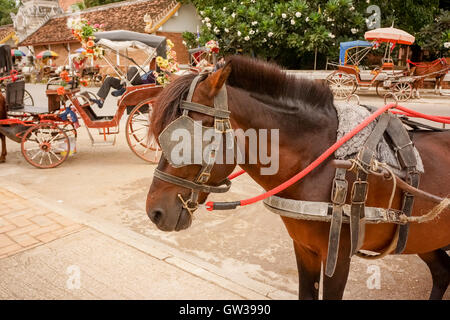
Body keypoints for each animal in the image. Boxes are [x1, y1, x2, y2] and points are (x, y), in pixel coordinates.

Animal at [146, 55, 448, 300]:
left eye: (184, 137)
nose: (154, 212)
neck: (321, 161)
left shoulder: (337, 256)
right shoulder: (305, 249)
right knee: (442, 273)